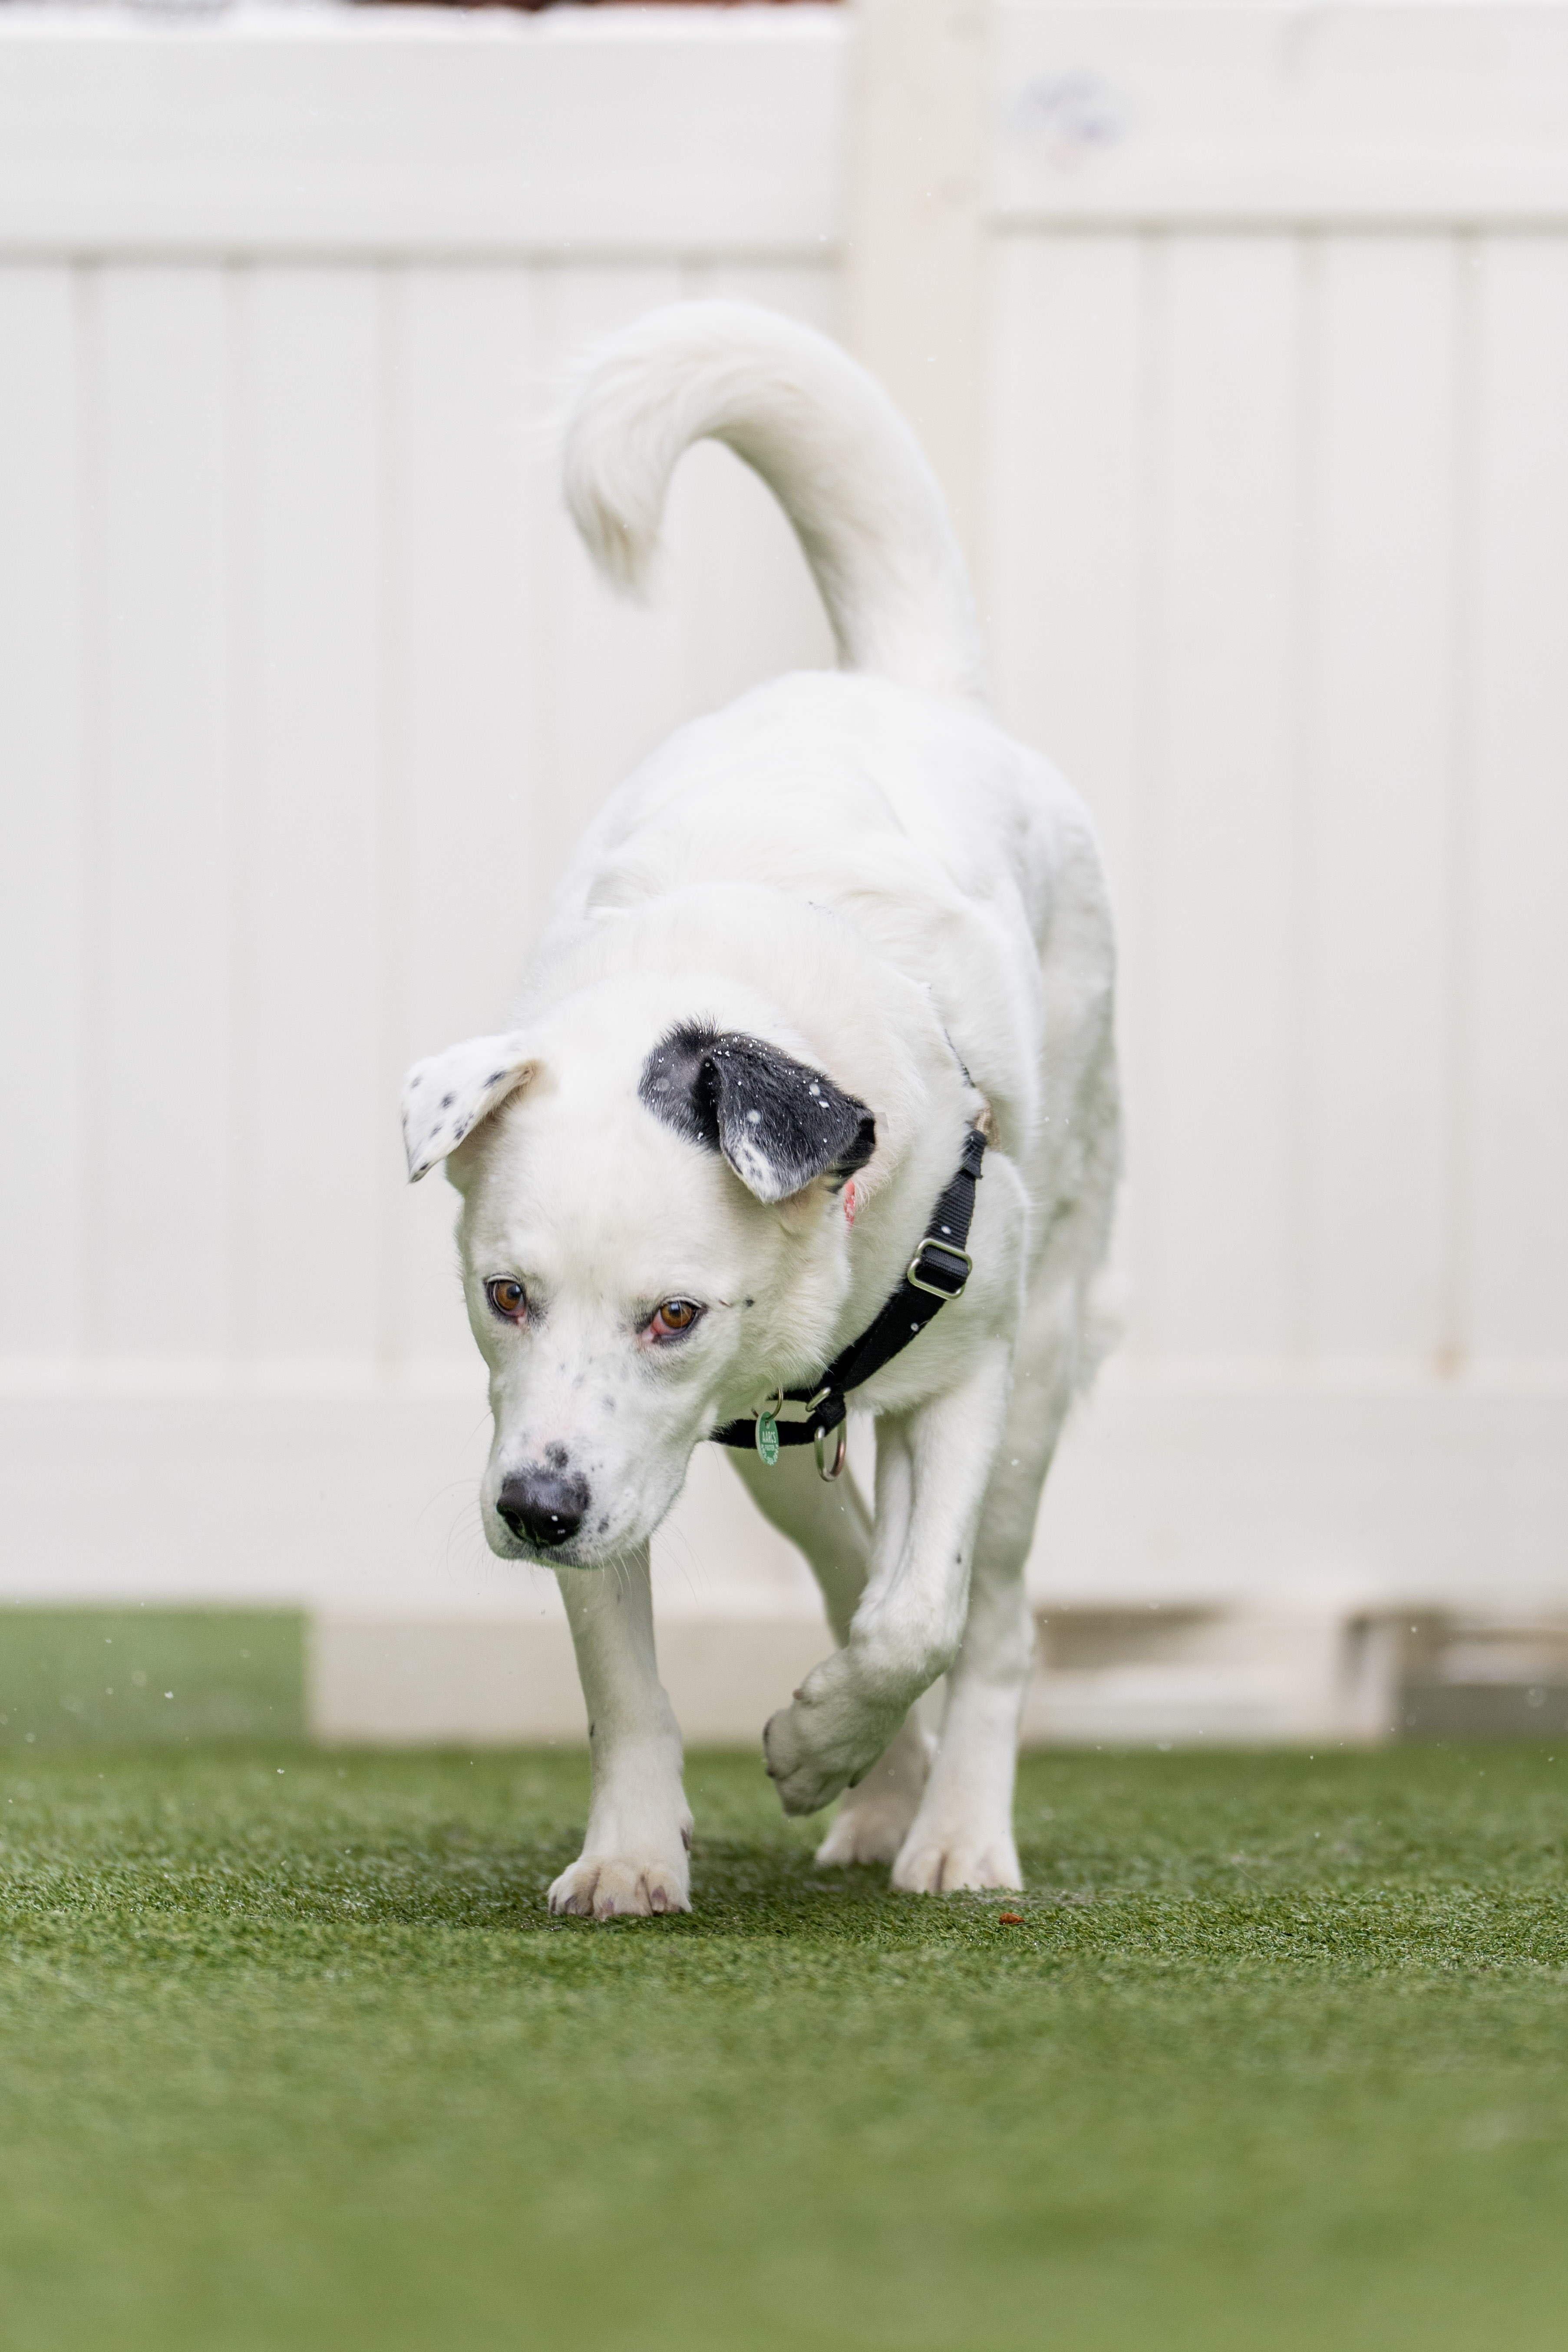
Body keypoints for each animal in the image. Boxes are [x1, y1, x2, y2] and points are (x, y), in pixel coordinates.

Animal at [401, 303, 1120, 1917]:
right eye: (505, 1291)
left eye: (674, 1312)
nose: (532, 1509)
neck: (729, 977)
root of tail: (907, 687)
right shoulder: (617, 1434)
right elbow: (629, 1676)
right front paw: (629, 1851)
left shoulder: (966, 1363)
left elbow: (924, 1612)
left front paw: (815, 1741)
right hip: (771, 1424)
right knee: (845, 1541)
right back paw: (884, 1782)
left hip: (1046, 1342)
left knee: (988, 1607)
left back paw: (956, 1829)